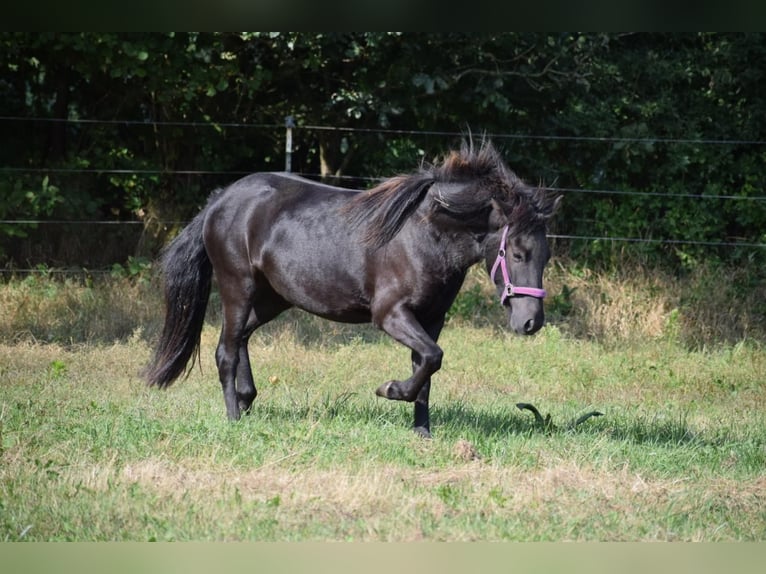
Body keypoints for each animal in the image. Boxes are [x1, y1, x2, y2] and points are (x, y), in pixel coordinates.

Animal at [145, 139, 559, 437]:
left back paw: (247, 401)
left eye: (546, 256)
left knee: (242, 337)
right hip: (238, 287)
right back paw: (234, 417)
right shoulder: (390, 314)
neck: (425, 234)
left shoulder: (431, 318)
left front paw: (422, 432)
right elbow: (432, 358)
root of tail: (222, 200)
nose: (531, 322)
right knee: (226, 351)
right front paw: (389, 390)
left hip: (271, 298)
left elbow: (426, 369)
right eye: (518, 253)